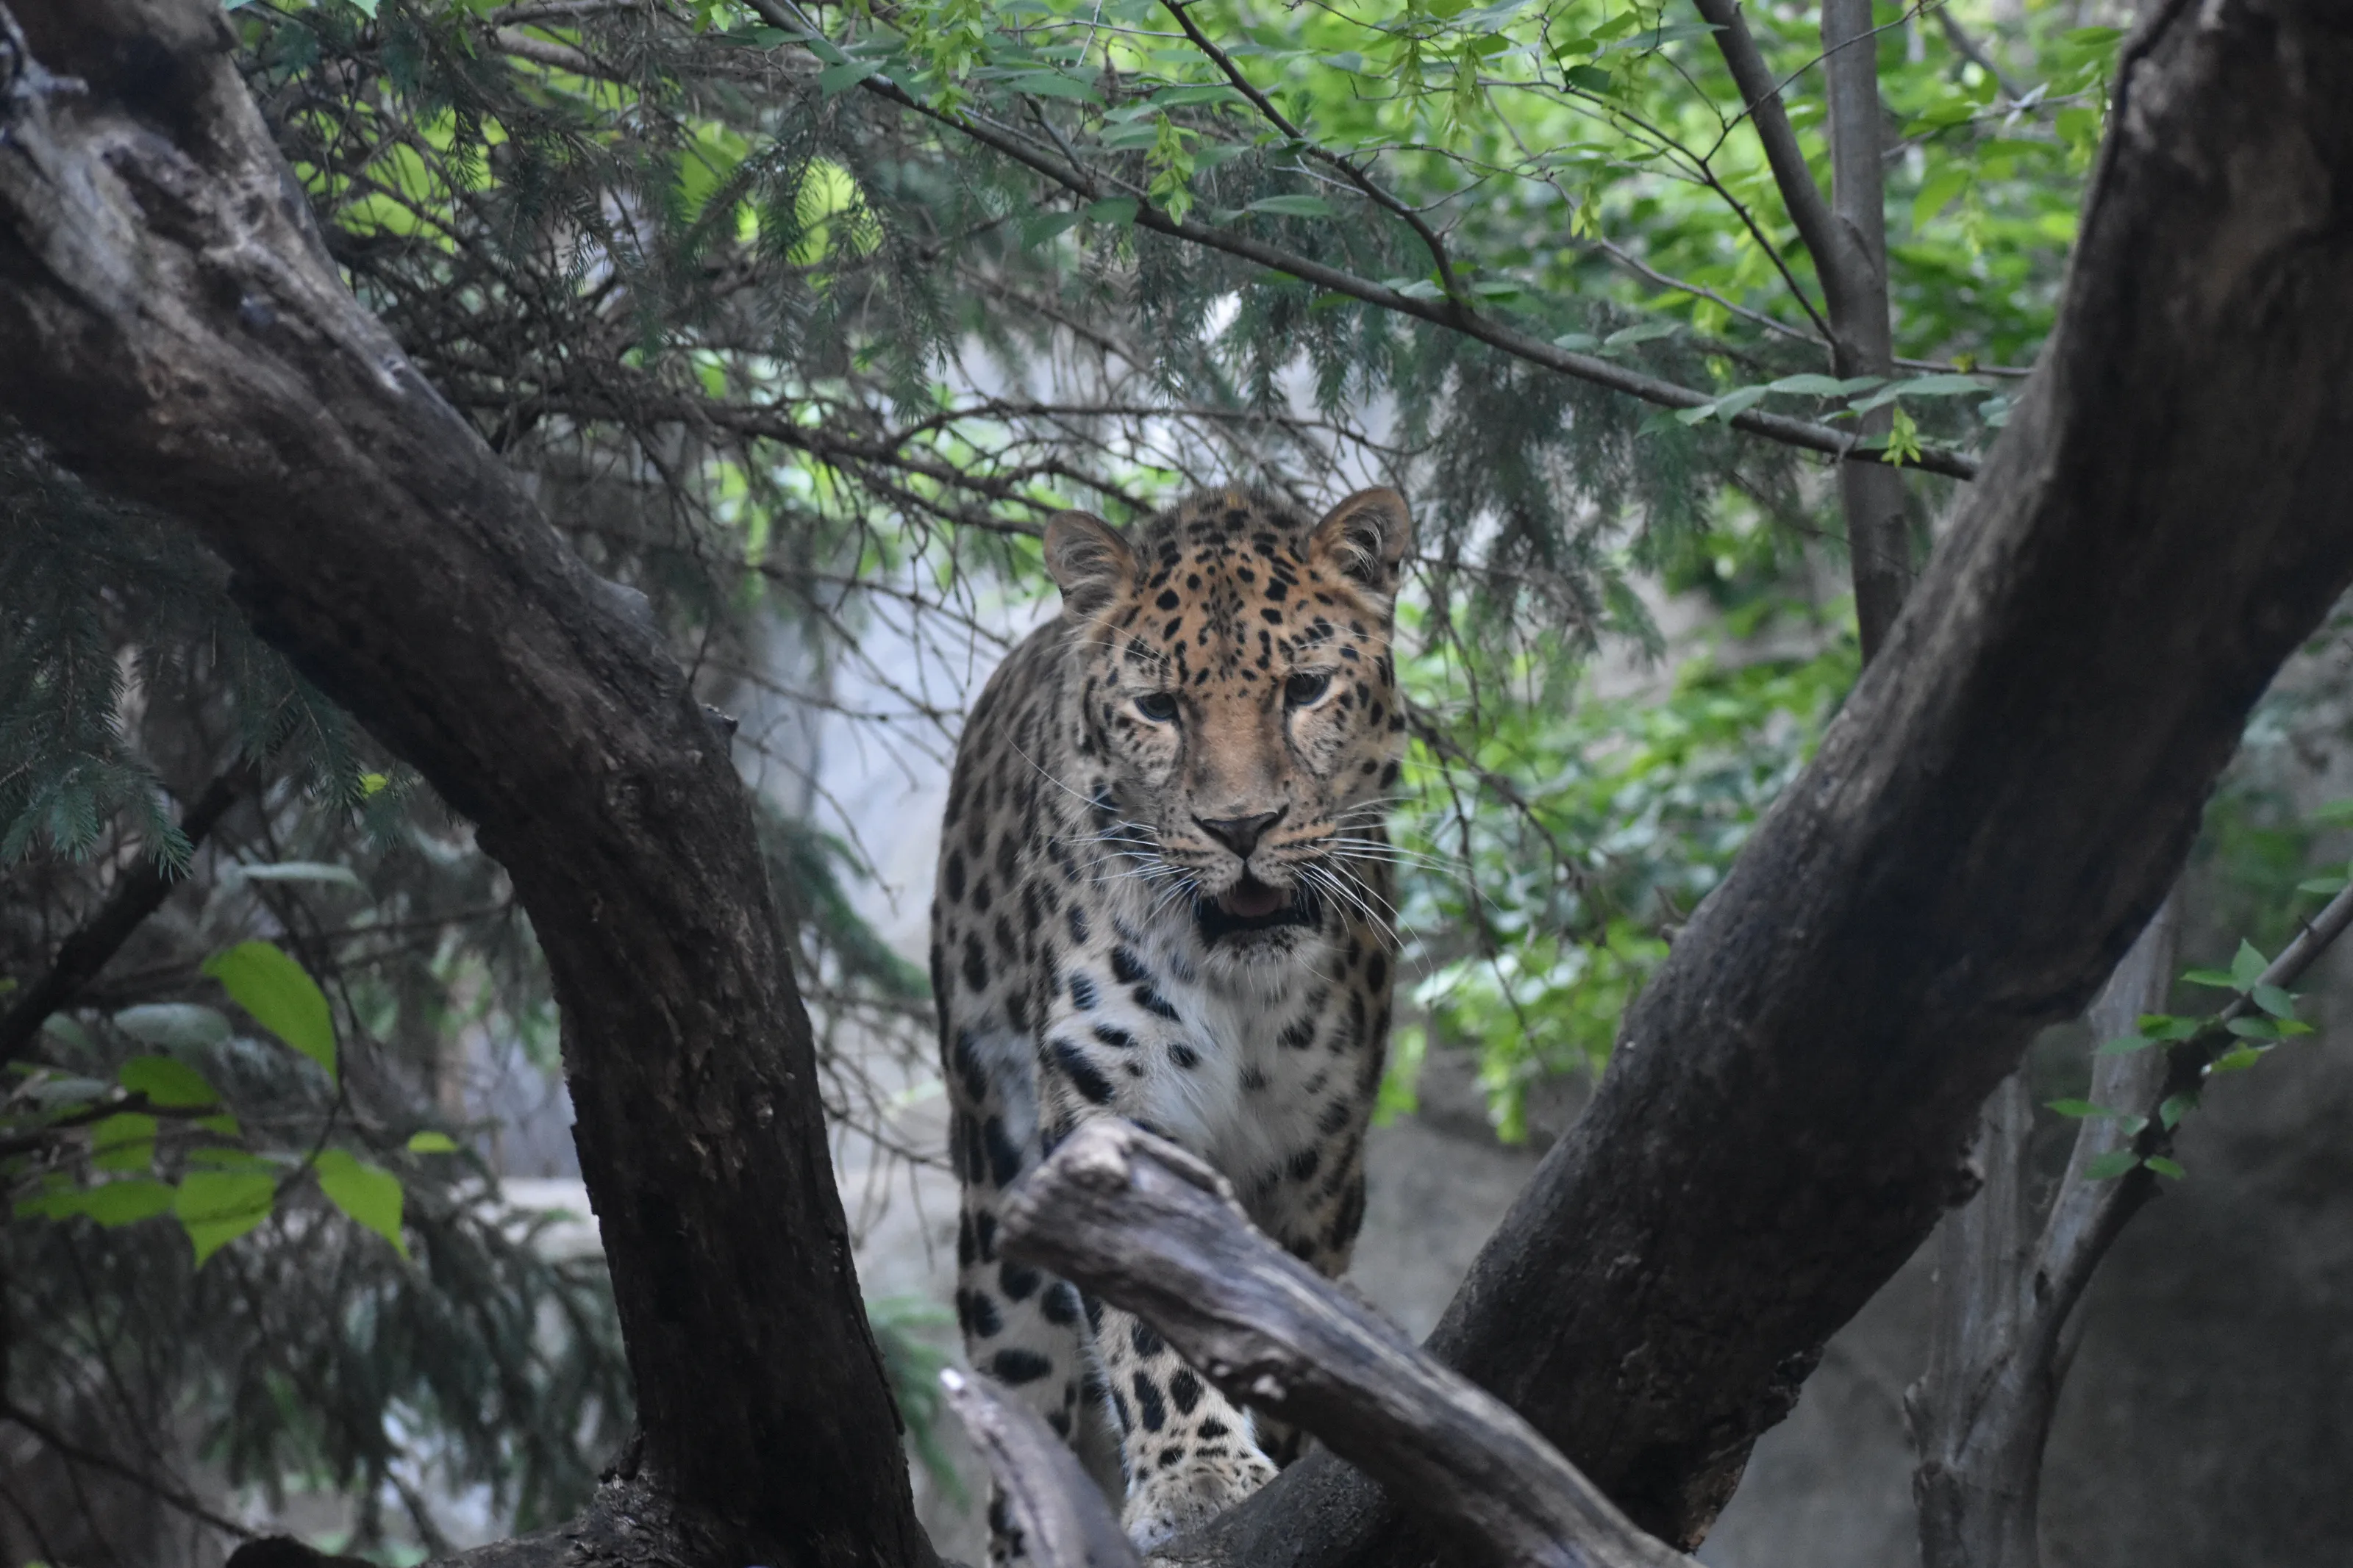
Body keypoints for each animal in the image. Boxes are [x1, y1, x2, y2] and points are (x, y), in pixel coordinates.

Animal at [929, 484, 1412, 1553]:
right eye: (1158, 708)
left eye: (1304, 688)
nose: (1240, 828)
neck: (1245, 990)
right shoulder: (1113, 1101)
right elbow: (1148, 1316)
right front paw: (1196, 1474)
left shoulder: (1317, 1163)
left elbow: (1283, 1318)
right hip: (995, 1201)